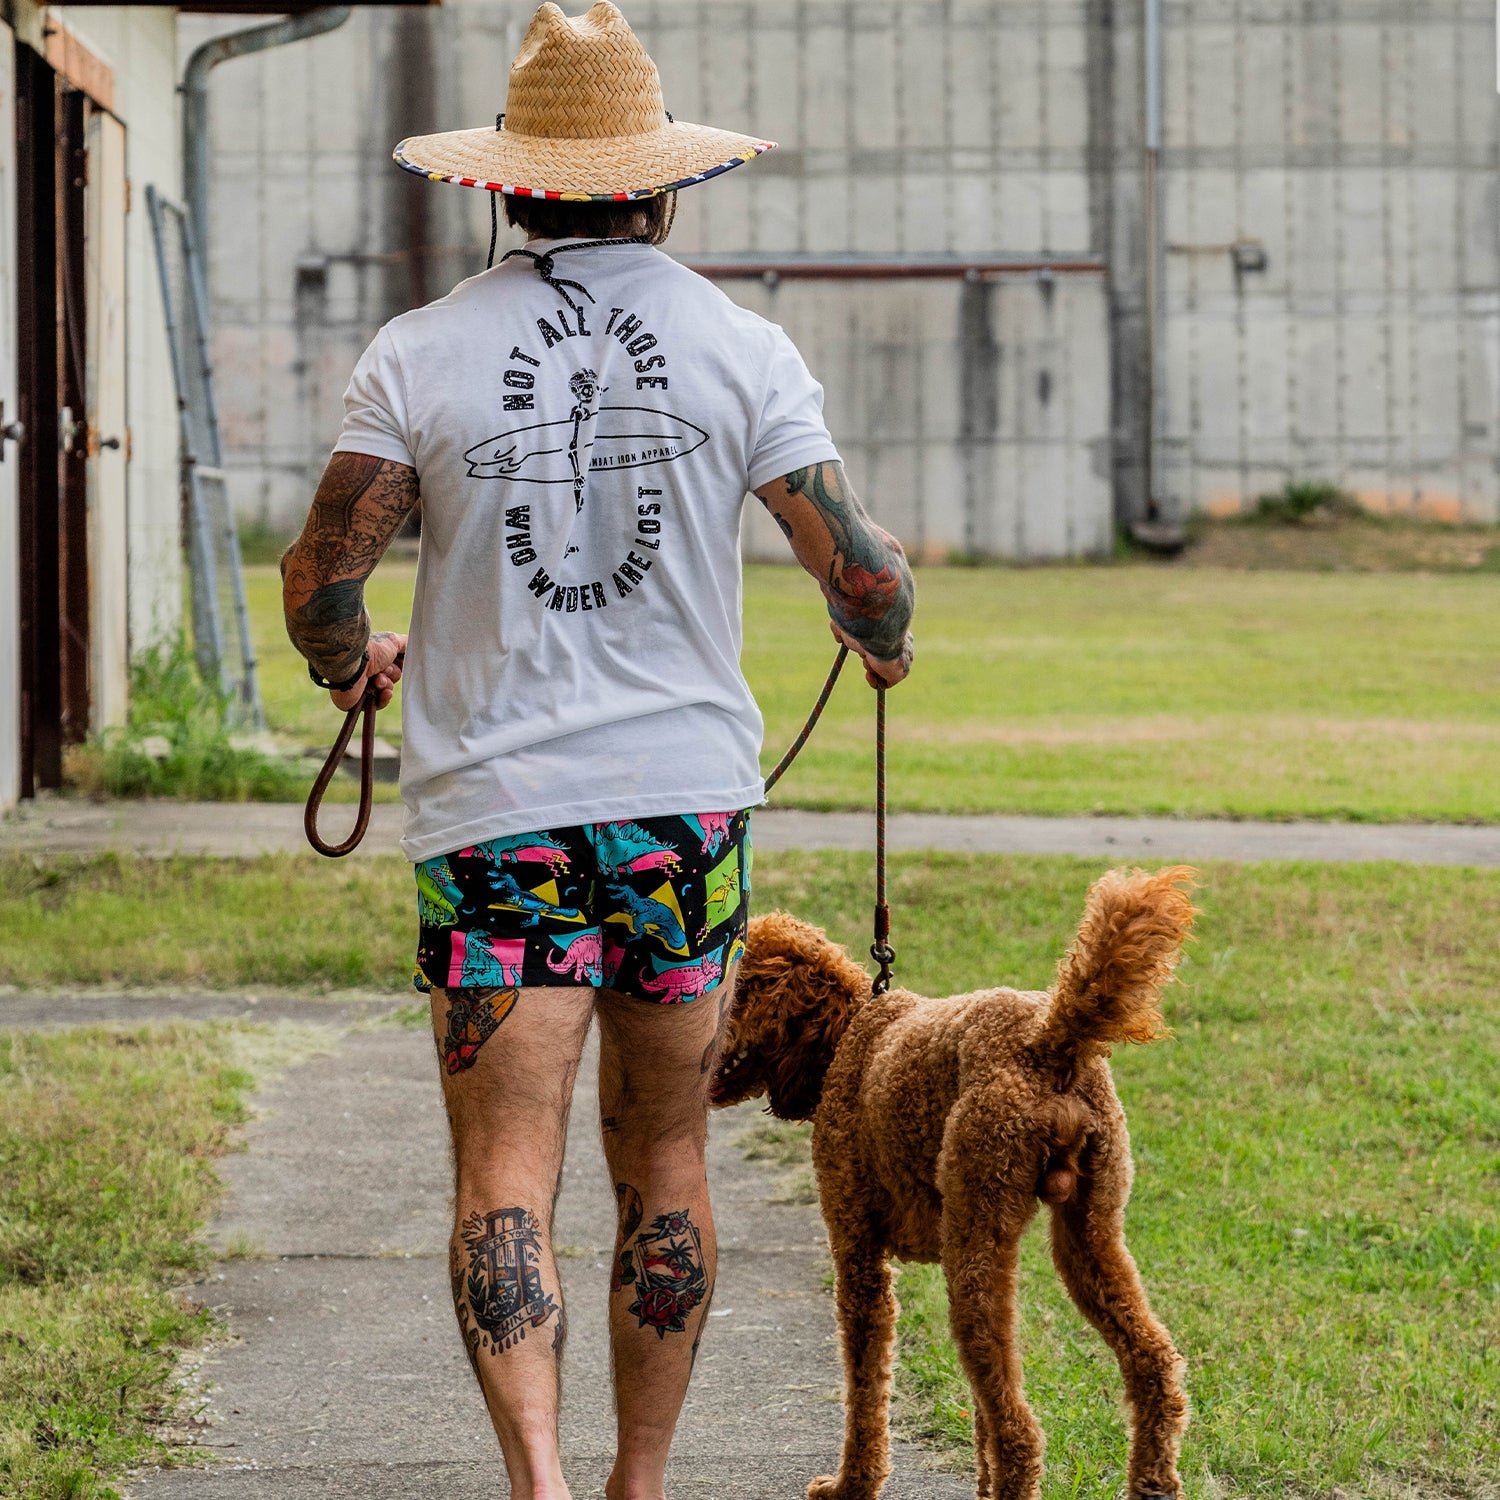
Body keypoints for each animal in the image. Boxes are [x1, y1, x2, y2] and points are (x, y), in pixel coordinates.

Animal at [711, 870, 1194, 1500]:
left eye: (734, 986)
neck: (846, 1035)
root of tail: (1050, 1045)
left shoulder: (858, 1253)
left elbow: (867, 1387)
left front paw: (851, 1484)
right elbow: (977, 1411)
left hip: (978, 1238)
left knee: (1019, 1430)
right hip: (1087, 1233)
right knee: (1151, 1365)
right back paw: (1152, 1479)